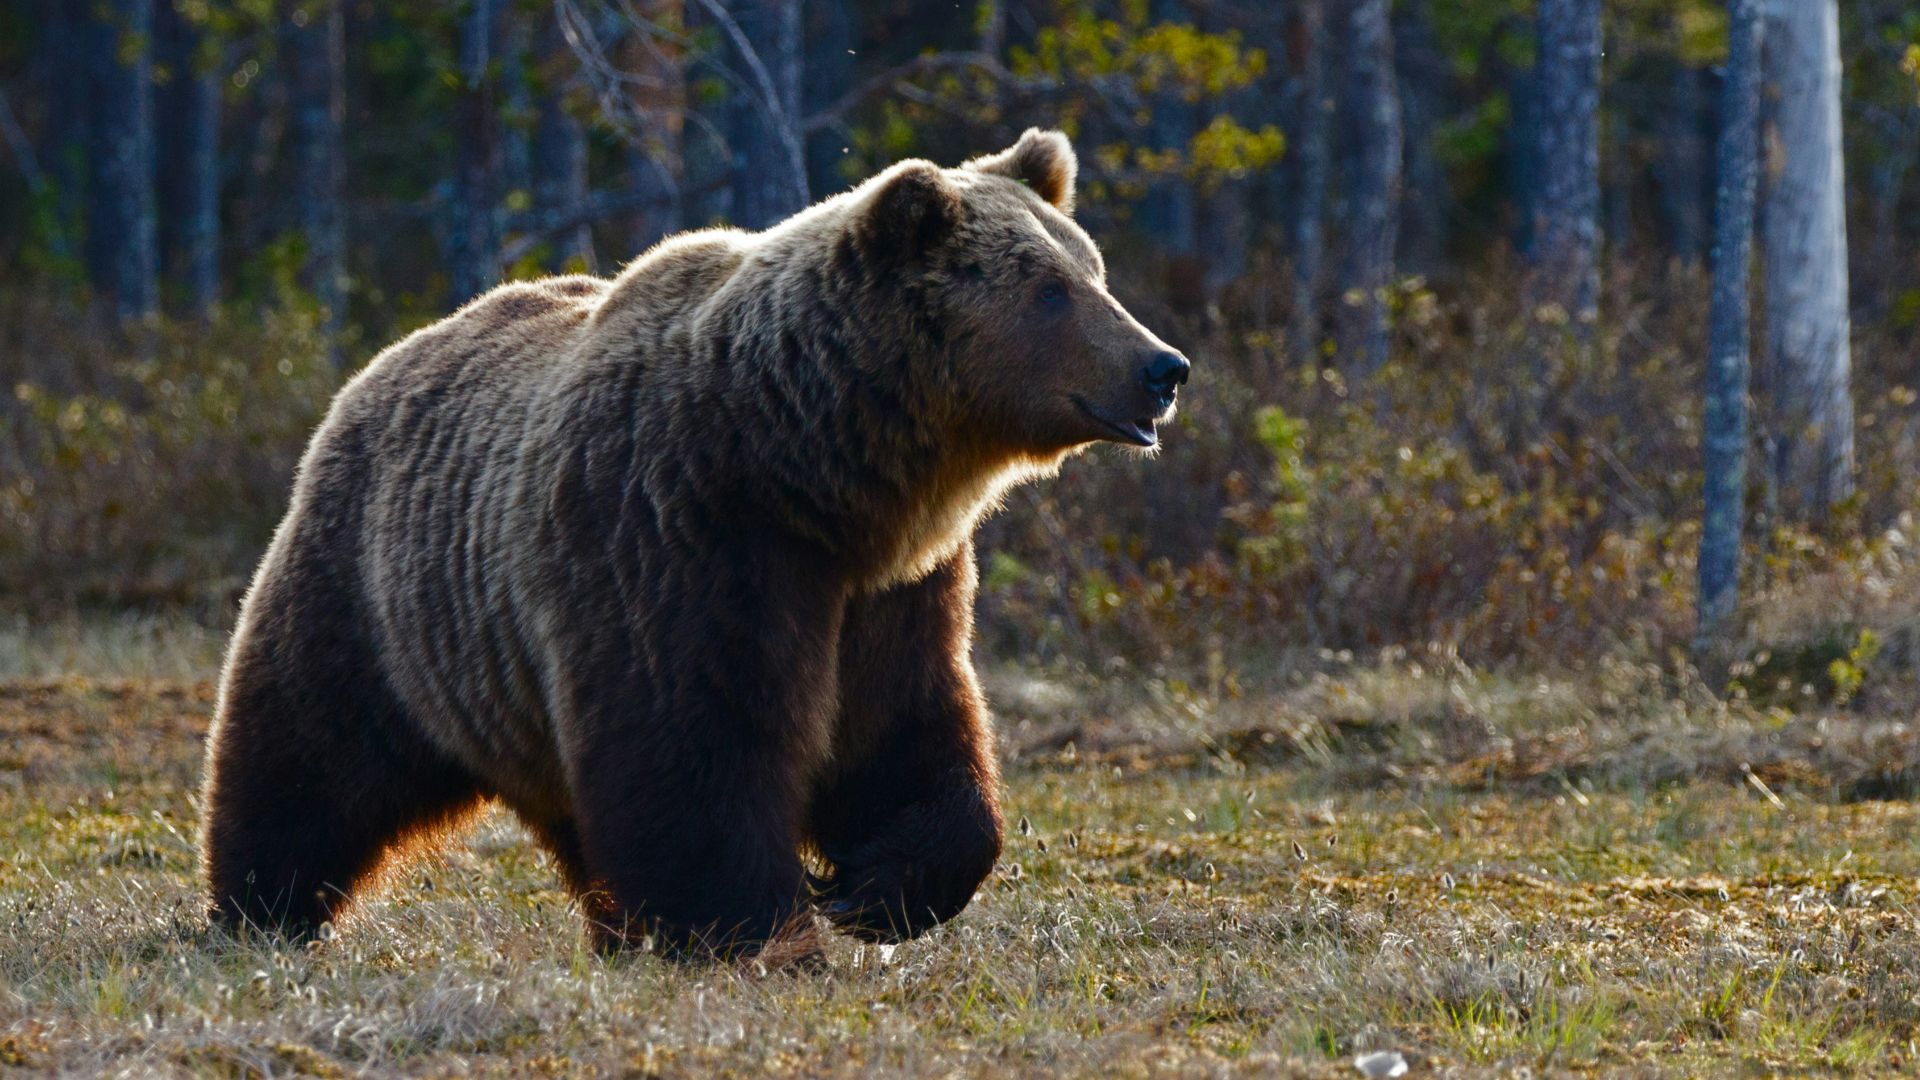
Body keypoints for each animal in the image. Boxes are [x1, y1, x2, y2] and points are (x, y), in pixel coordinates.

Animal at [196, 128, 1190, 960]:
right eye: (1049, 289)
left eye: (1093, 270)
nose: (1164, 366)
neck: (812, 471)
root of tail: (386, 359)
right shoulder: (679, 537)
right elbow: (695, 746)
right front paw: (759, 928)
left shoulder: (893, 588)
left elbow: (906, 729)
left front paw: (877, 887)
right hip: (379, 595)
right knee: (308, 753)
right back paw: (260, 909)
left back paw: (615, 929)